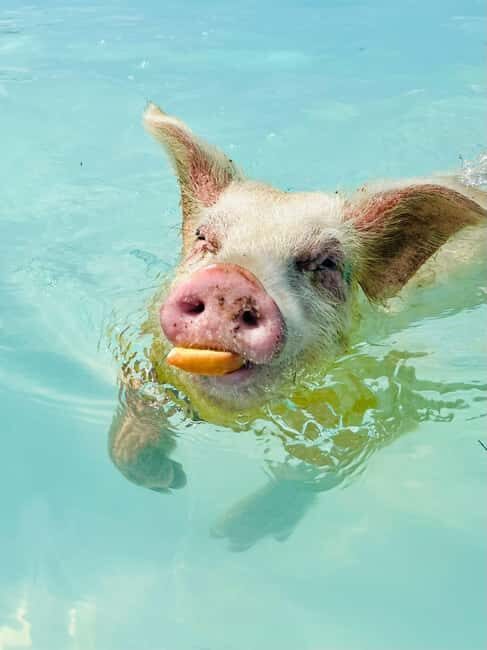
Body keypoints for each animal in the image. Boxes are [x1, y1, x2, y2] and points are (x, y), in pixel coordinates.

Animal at [108, 103, 486, 547]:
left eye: (325, 264)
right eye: (203, 238)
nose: (229, 281)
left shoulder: (383, 398)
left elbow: (316, 466)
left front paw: (228, 533)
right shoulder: (142, 348)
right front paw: (165, 479)